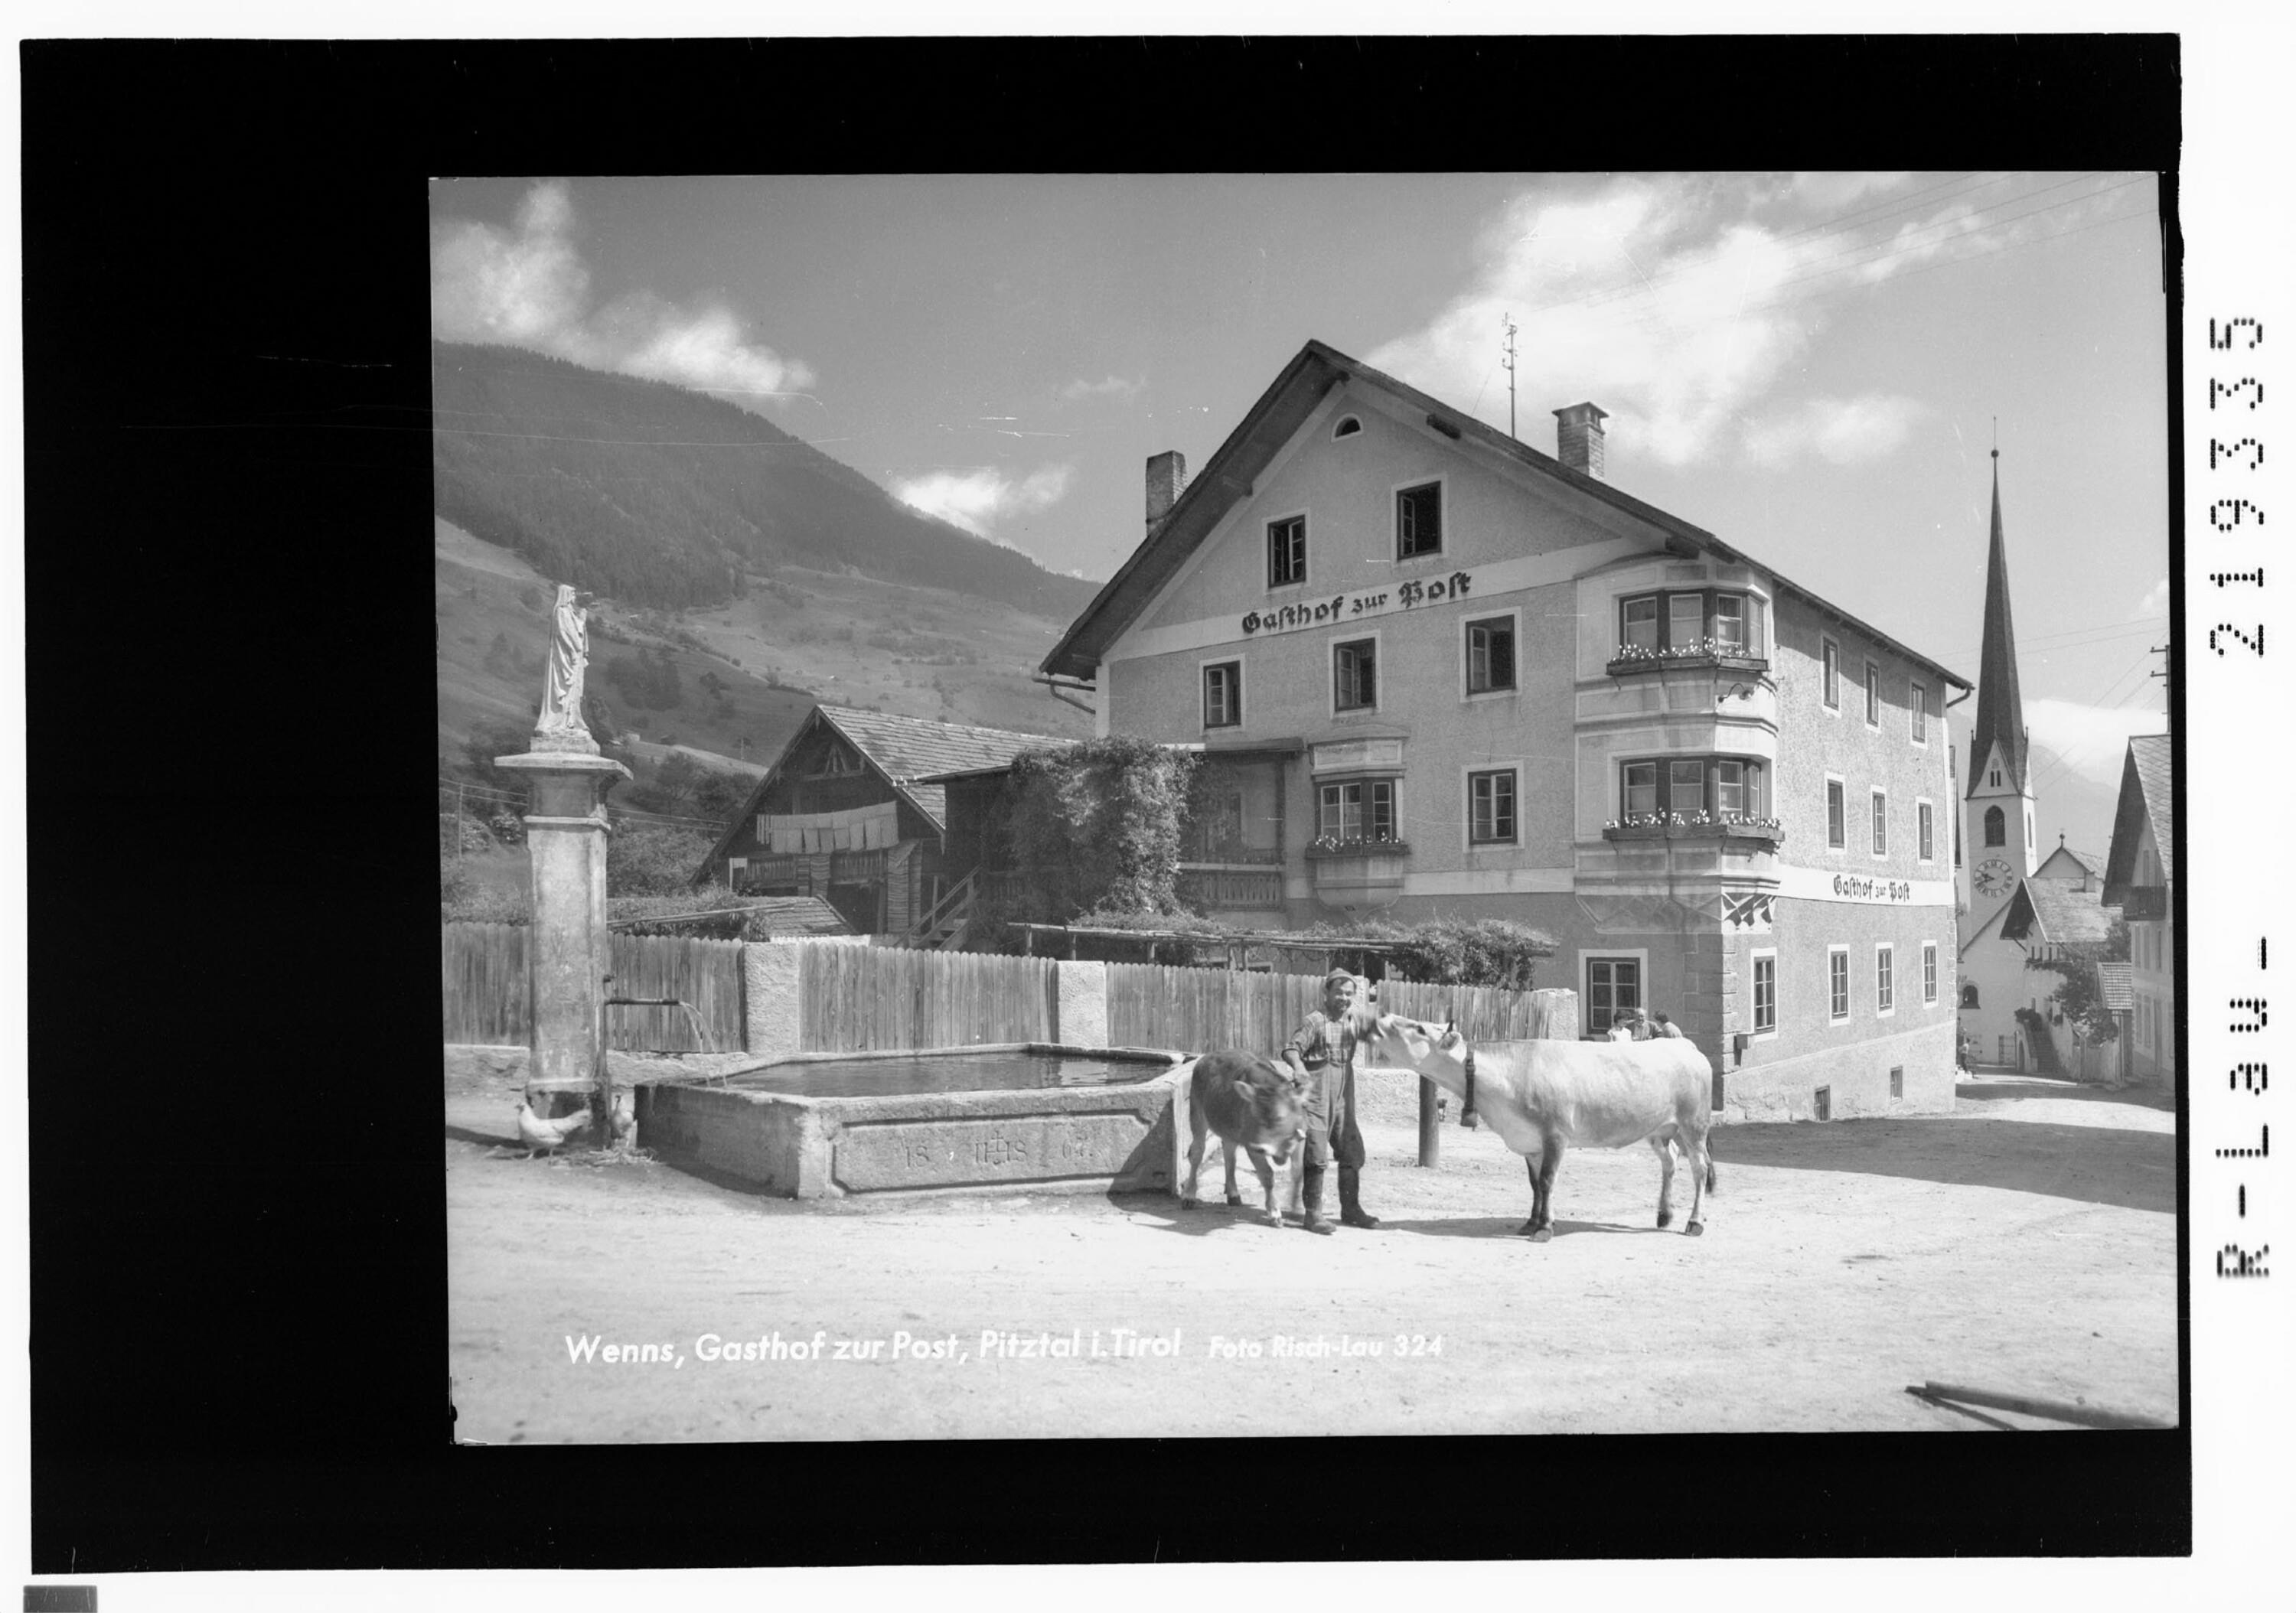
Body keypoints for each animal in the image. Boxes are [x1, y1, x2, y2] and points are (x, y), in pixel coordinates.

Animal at [1350, 1014, 1717, 1239]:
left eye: (1420, 1029)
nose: (1380, 1019)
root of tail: (1684, 1044)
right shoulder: (1528, 1142)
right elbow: (1535, 1184)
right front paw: (1531, 1222)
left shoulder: (1555, 1134)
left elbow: (1548, 1180)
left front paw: (1545, 1229)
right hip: (1658, 1129)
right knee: (1670, 1160)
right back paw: (1664, 1214)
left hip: (1694, 1123)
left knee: (1700, 1168)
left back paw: (1694, 1222)